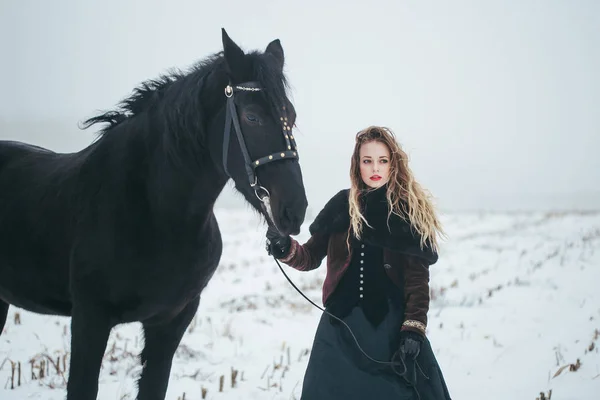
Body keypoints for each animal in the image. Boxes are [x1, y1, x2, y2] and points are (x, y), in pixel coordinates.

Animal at [0, 28, 308, 400]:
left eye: (292, 116)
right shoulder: (89, 319)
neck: (155, 216)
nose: (294, 210)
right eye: (252, 117)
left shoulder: (170, 323)